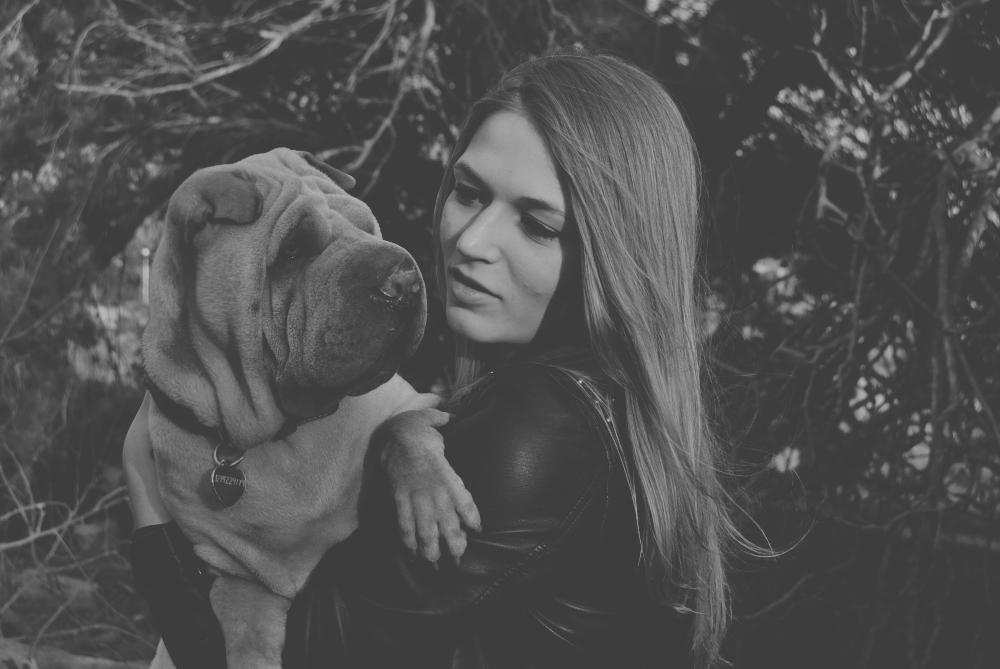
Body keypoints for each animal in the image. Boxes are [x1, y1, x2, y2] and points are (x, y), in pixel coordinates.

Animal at [141, 148, 433, 668]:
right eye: (293, 250)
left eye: (368, 227)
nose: (403, 278)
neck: (273, 434)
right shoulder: (238, 576)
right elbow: (242, 632)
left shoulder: (419, 399)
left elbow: (404, 424)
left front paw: (431, 499)